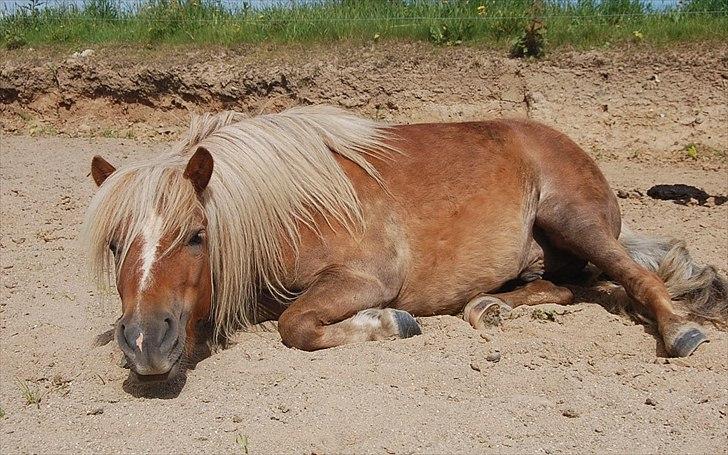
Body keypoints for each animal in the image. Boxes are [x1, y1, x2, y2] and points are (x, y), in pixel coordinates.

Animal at [82, 106, 724, 382]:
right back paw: (487, 307)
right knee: (568, 287)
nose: (145, 344)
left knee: (633, 277)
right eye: (115, 246)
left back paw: (680, 331)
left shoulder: (367, 277)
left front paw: (390, 323)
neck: (293, 205)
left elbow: (295, 324)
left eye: (196, 236)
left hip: (574, 220)